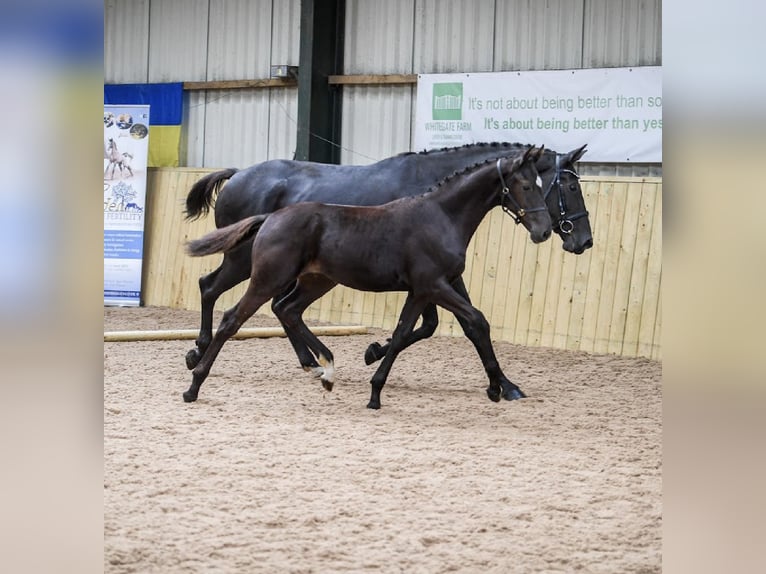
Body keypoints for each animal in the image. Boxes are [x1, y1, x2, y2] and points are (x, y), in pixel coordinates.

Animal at [184, 148, 552, 410]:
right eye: (524, 185)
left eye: (544, 185)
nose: (544, 232)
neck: (440, 215)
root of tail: (270, 217)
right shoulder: (433, 285)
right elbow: (475, 320)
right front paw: (498, 387)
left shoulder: (422, 290)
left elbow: (406, 331)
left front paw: (375, 388)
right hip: (265, 276)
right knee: (231, 315)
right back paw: (194, 383)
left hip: (316, 280)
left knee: (287, 310)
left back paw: (323, 369)